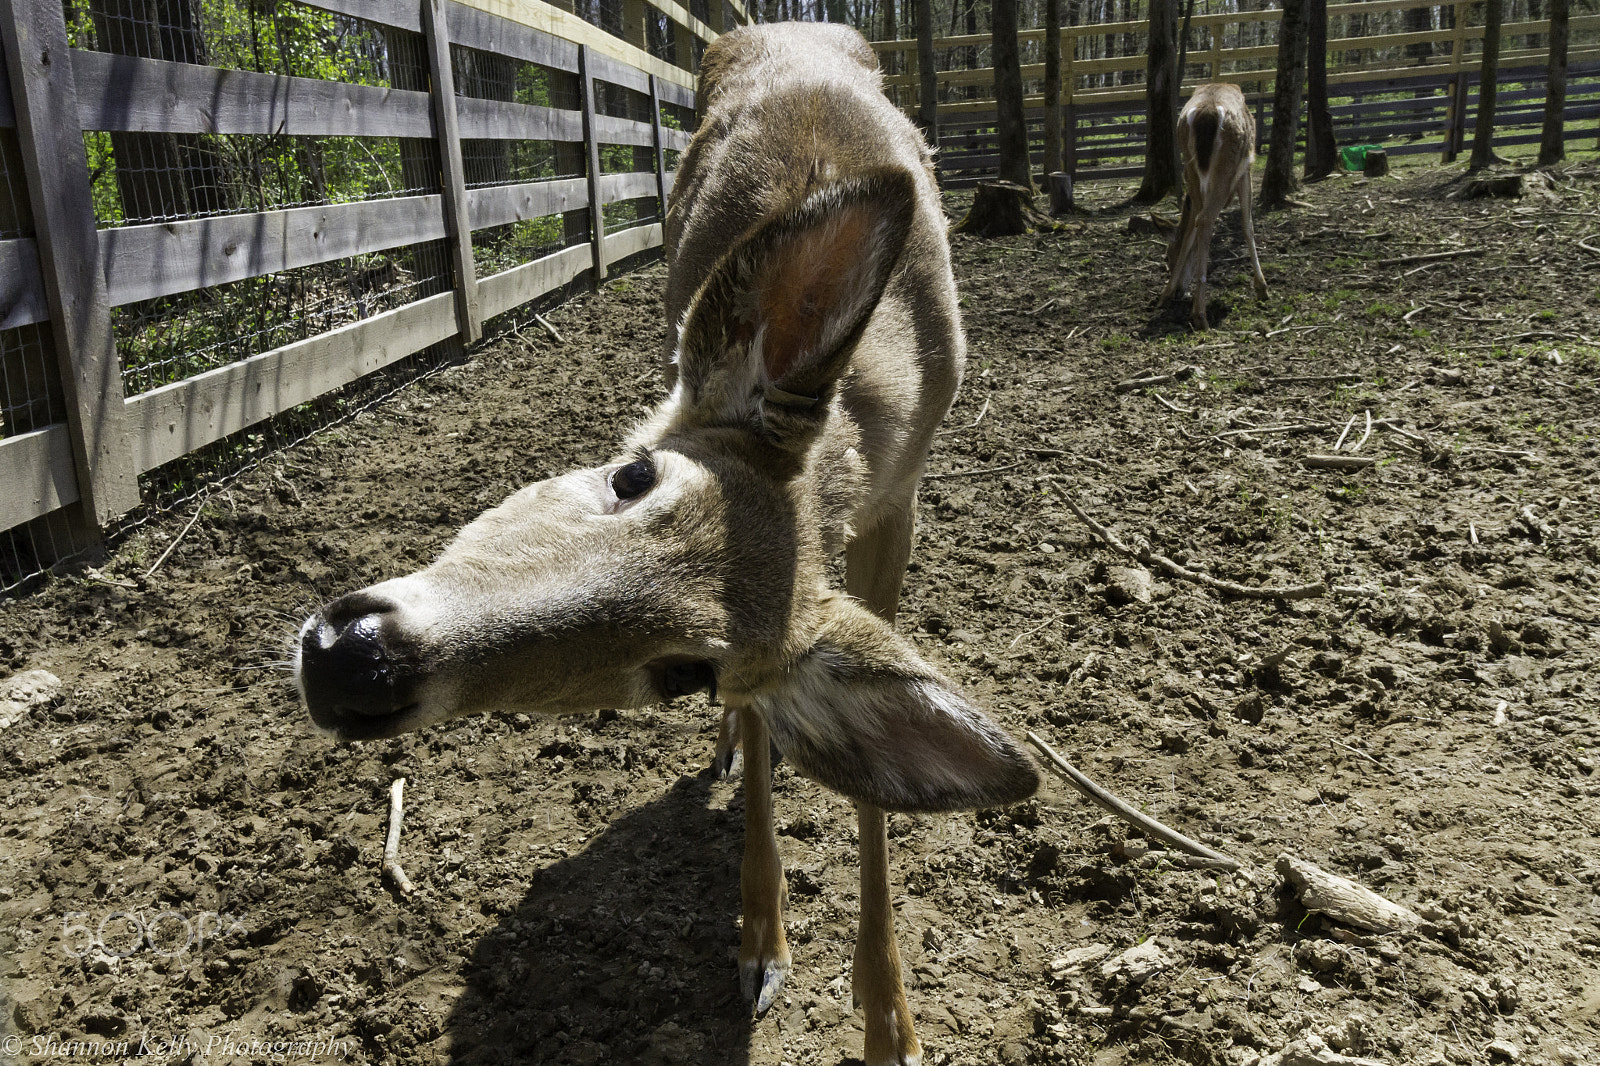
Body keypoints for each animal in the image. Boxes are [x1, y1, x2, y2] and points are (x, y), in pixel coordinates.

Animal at [294, 22, 1043, 1062]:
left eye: (682, 670)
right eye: (632, 474)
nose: (358, 663)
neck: (883, 390)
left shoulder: (898, 509)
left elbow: (858, 775)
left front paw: (890, 1016)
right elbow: (769, 733)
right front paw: (761, 942)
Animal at [1158, 81, 1267, 329]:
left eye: (1168, 255)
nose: (1179, 291)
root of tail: (1206, 114)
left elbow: (1189, 232)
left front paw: (1166, 293)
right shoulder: (1246, 170)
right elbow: (1248, 225)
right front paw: (1262, 287)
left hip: (1189, 164)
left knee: (1198, 220)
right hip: (1226, 166)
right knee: (1206, 219)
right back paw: (1199, 313)